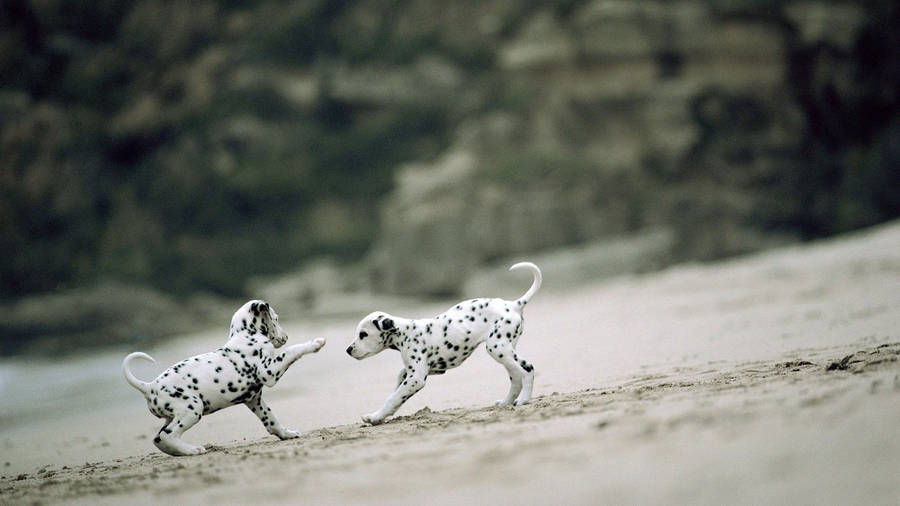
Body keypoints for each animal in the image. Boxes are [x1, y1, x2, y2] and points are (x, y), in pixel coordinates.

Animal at [122, 298, 326, 456]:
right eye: (276, 318)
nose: (286, 337)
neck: (246, 335)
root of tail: (148, 386)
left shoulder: (254, 399)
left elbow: (271, 420)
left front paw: (287, 434)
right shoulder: (269, 371)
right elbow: (292, 351)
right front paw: (314, 344)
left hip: (173, 415)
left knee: (159, 438)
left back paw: (180, 452)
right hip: (192, 408)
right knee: (167, 435)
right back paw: (192, 450)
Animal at [344, 262, 540, 424]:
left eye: (363, 334)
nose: (348, 350)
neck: (405, 333)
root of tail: (513, 304)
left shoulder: (416, 378)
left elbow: (393, 397)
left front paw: (376, 417)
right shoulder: (431, 370)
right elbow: (397, 388)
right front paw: (377, 415)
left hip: (497, 349)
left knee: (527, 369)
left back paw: (523, 400)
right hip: (505, 350)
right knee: (516, 376)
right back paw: (506, 402)